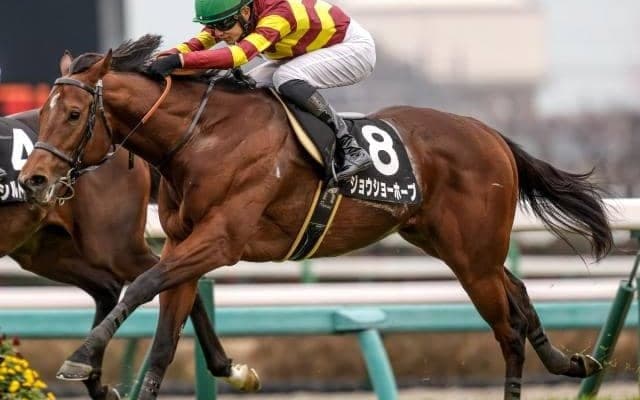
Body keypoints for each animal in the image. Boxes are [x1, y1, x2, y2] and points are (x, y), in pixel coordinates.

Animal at [3, 109, 239, 399]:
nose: (30, 180)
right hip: (46, 250)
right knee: (110, 286)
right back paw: (90, 373)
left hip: (116, 247)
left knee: (164, 276)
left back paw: (225, 366)